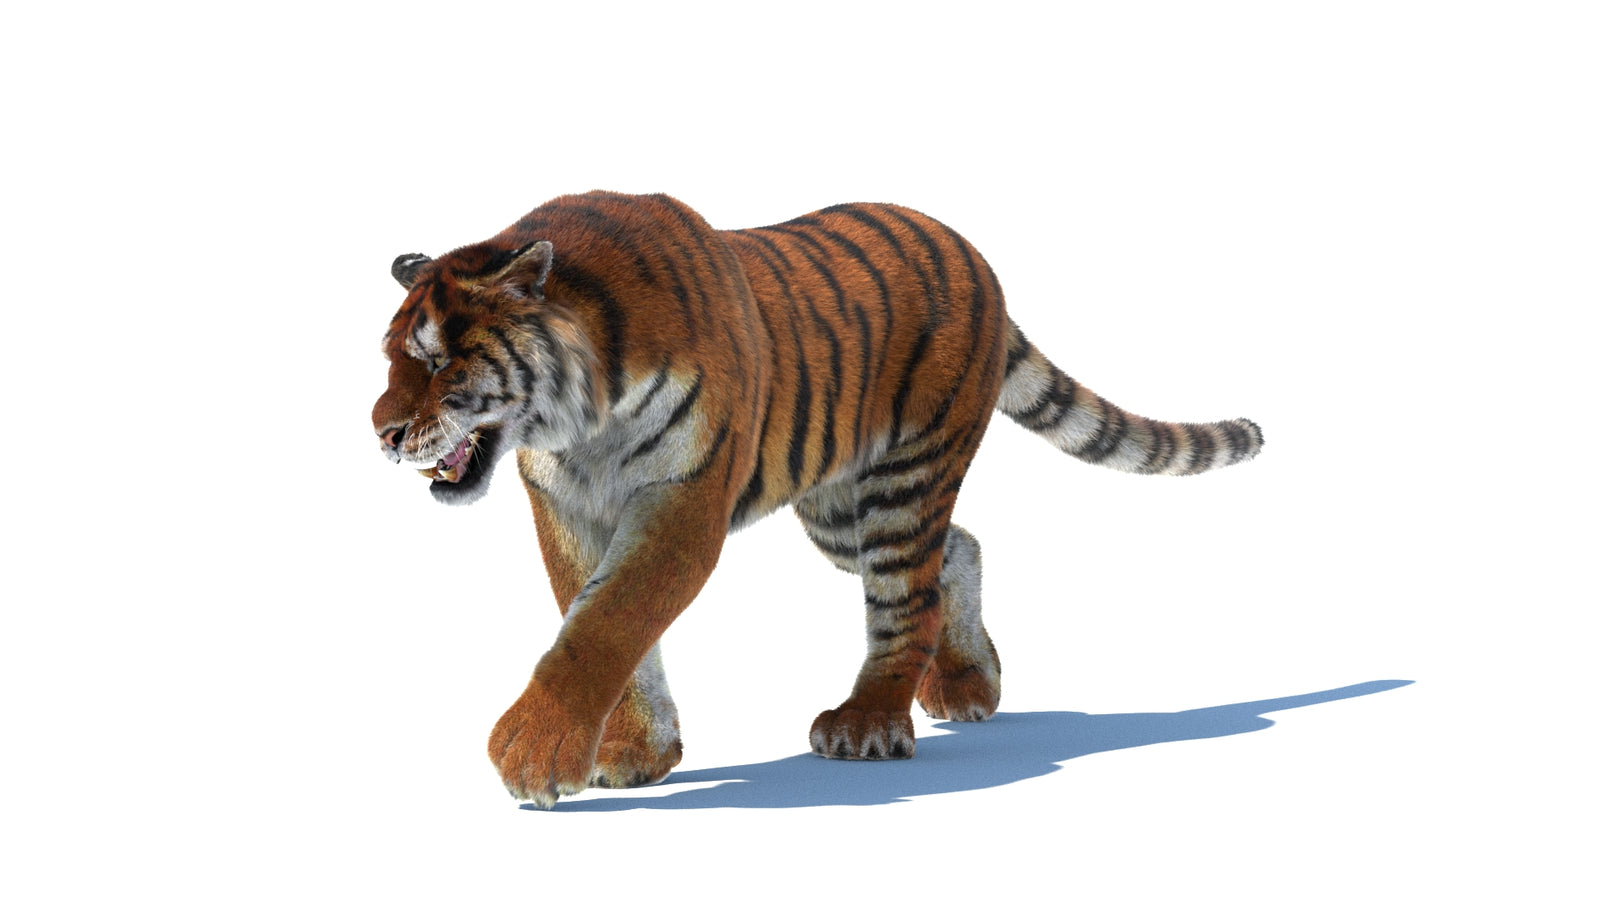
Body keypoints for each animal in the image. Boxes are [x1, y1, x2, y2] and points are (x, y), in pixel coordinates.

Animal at [371, 190, 1262, 808]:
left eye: (441, 362)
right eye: (390, 359)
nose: (381, 432)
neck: (578, 421)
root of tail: (971, 252)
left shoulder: (683, 500)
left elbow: (608, 622)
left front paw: (535, 755)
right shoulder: (568, 505)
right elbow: (592, 617)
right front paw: (634, 754)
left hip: (906, 480)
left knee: (906, 599)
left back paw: (868, 722)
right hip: (838, 509)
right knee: (959, 548)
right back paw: (969, 683)